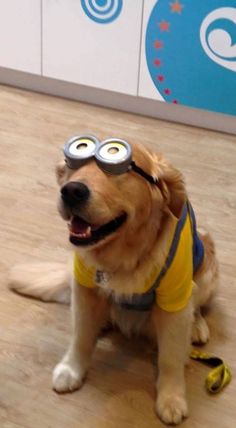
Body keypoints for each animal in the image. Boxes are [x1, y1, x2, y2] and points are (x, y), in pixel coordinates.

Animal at [10, 140, 218, 424]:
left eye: (118, 163)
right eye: (74, 162)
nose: (71, 191)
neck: (123, 256)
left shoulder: (175, 299)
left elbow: (171, 357)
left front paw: (171, 399)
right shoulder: (84, 286)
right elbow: (80, 336)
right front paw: (71, 369)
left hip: (206, 264)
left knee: (195, 307)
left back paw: (196, 326)